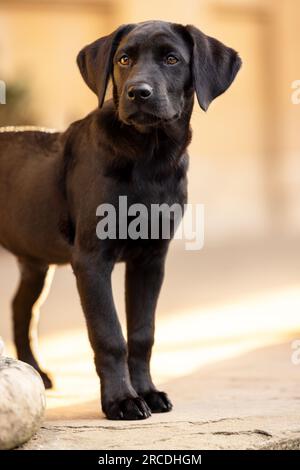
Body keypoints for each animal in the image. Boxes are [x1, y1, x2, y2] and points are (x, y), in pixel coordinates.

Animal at [0, 20, 240, 420]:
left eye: (172, 59)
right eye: (124, 59)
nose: (138, 92)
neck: (149, 154)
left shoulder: (151, 259)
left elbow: (142, 333)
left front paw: (147, 391)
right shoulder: (92, 259)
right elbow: (109, 335)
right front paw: (121, 400)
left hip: (35, 261)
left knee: (21, 309)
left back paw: (35, 370)